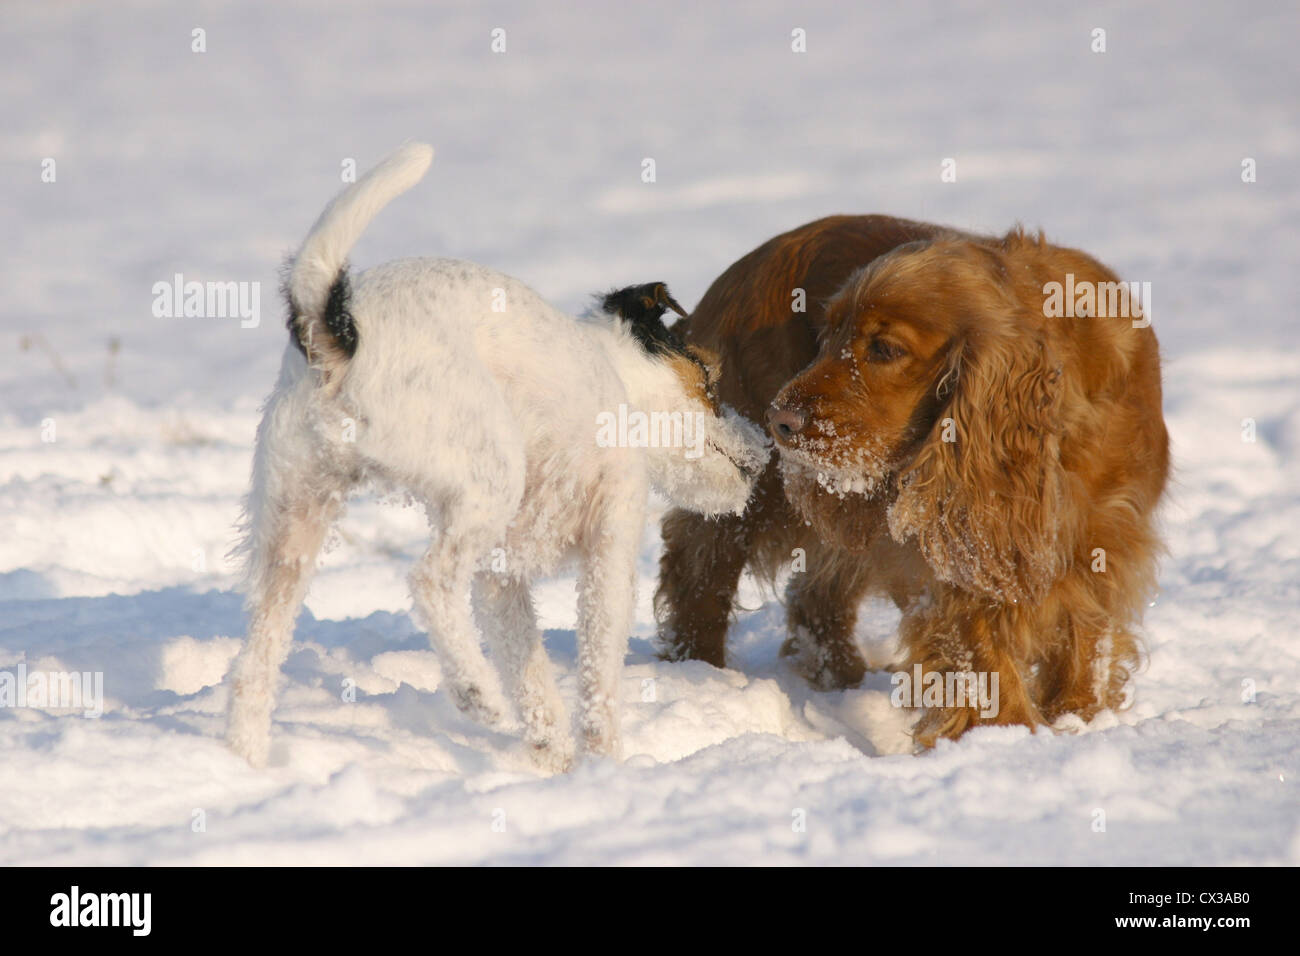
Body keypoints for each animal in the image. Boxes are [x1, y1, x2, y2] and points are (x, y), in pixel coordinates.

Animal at [226, 143, 769, 770]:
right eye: (709, 377)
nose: (764, 449)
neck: (614, 380)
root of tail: (339, 336)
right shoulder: (611, 543)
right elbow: (598, 671)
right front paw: (605, 761)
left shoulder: (499, 580)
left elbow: (529, 671)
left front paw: (554, 757)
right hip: (489, 476)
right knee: (430, 581)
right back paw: (474, 690)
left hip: (296, 520)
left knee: (256, 663)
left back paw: (244, 762)